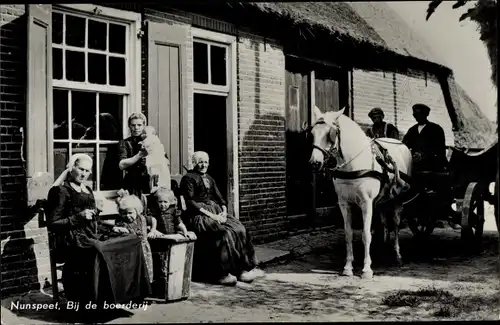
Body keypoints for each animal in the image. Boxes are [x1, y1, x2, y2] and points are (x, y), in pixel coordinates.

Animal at [310, 106, 412, 278]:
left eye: (330, 133)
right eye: (312, 133)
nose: (314, 163)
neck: (353, 164)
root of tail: (401, 144)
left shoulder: (366, 203)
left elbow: (366, 234)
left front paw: (366, 269)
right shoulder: (344, 203)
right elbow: (348, 234)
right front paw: (348, 267)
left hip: (398, 199)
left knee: (396, 224)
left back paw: (397, 255)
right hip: (383, 200)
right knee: (385, 222)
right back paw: (383, 248)